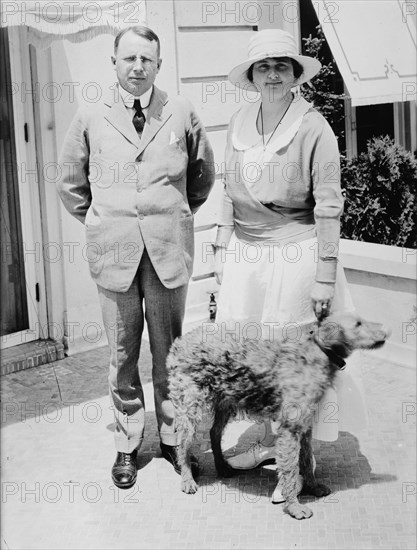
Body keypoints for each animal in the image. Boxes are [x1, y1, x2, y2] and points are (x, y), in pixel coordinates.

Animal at [167, 314, 388, 520]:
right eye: (358, 324)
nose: (387, 332)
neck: (316, 355)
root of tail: (180, 342)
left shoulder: (304, 426)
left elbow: (306, 462)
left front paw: (313, 487)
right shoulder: (291, 429)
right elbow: (290, 469)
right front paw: (294, 506)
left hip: (225, 403)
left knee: (214, 433)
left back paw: (222, 467)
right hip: (190, 407)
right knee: (183, 446)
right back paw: (187, 479)